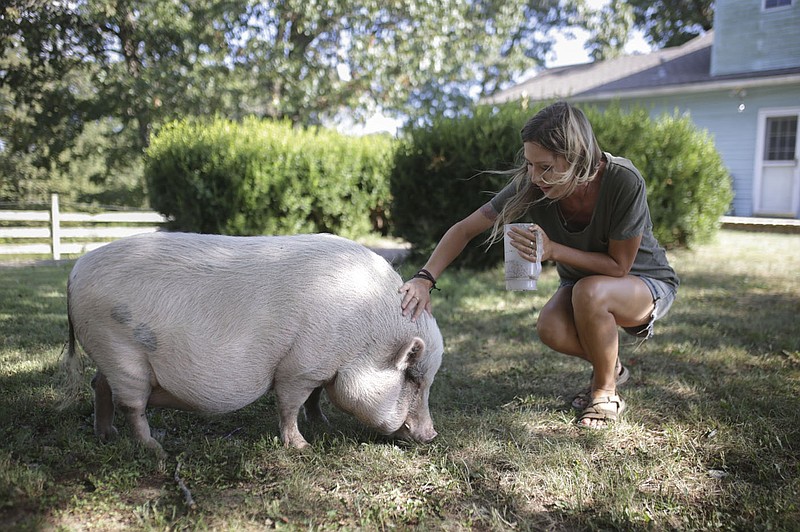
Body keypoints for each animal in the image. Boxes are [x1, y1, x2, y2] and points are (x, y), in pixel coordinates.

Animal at [59, 231, 446, 456]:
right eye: (413, 377)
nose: (432, 435)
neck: (364, 335)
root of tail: (74, 272)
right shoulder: (299, 367)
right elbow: (290, 404)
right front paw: (303, 448)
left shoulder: (321, 367)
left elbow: (316, 397)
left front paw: (324, 424)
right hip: (120, 350)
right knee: (131, 404)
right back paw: (156, 449)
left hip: (108, 353)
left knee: (98, 384)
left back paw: (106, 436)